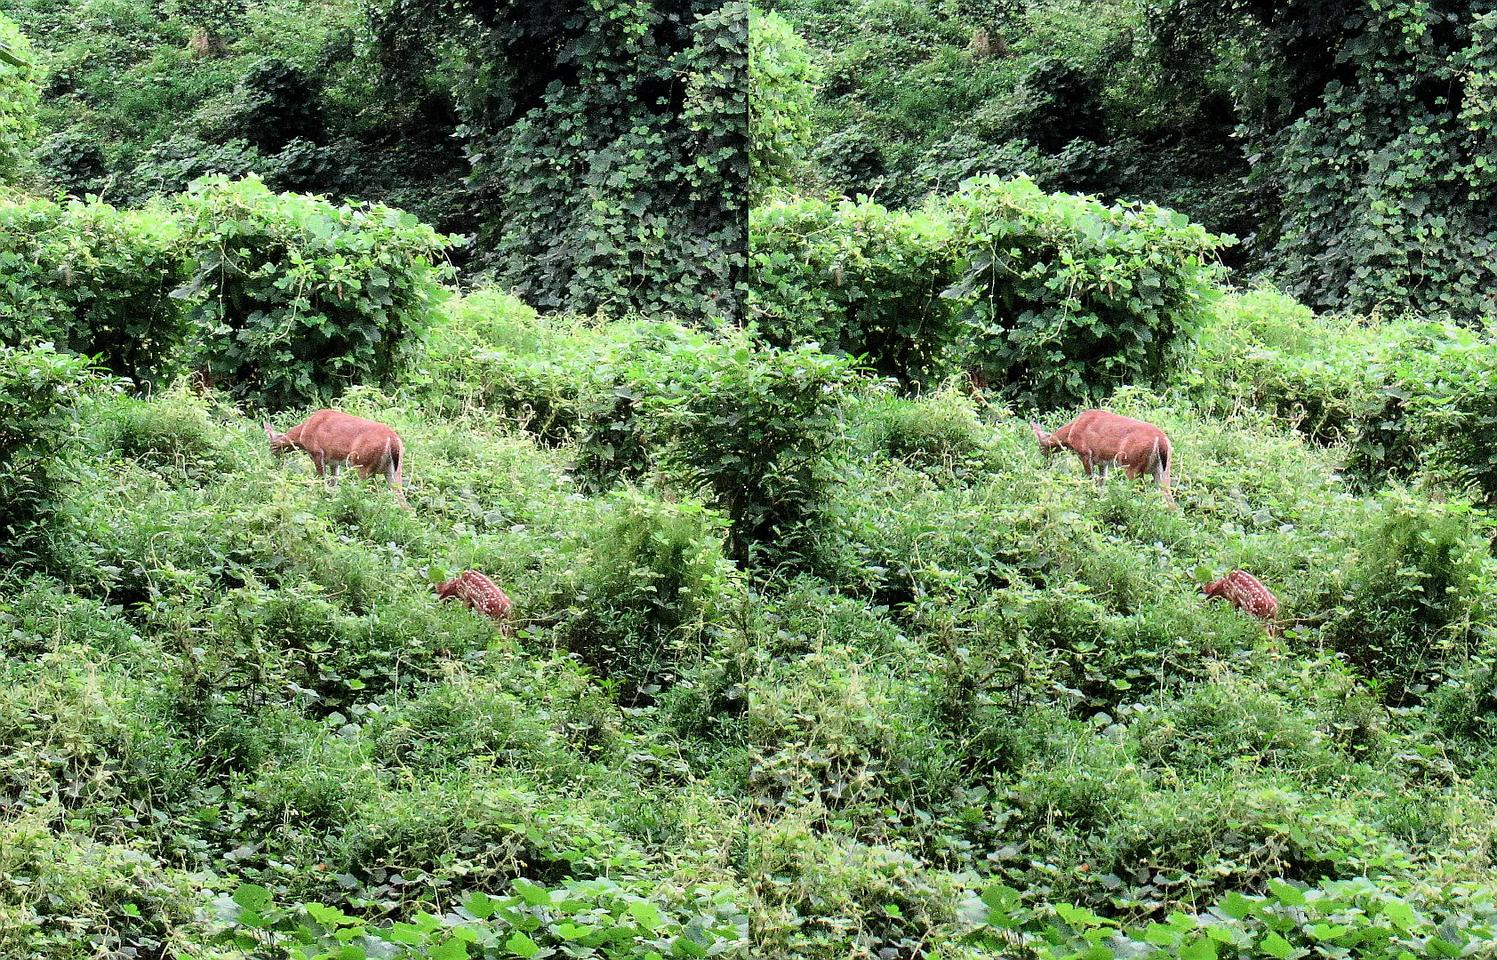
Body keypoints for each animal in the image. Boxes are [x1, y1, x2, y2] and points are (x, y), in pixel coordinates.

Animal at [260, 407, 407, 506]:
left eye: (271, 446)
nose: (273, 459)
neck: (303, 432)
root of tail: (393, 440)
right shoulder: (333, 461)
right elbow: (333, 484)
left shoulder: (317, 452)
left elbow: (321, 480)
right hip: (394, 470)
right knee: (404, 502)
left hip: (364, 465)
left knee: (368, 493)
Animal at [1035, 407, 1173, 506]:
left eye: (1041, 449)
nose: (1044, 465)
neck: (1071, 431)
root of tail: (1161, 440)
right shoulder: (1102, 462)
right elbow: (1102, 483)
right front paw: (1100, 500)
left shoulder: (1085, 453)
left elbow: (1090, 479)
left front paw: (1090, 498)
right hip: (1163, 470)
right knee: (1170, 500)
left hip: (1133, 465)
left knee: (1140, 492)